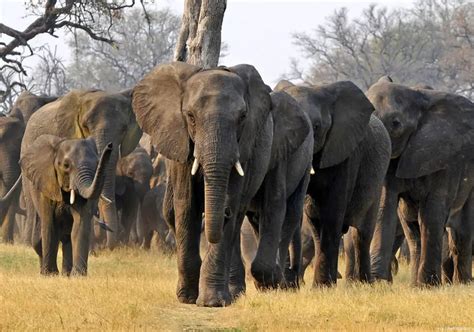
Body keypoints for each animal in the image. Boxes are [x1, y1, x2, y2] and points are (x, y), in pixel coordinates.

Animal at [21, 134, 113, 274]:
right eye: (66, 165)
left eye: (96, 164)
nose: (110, 145)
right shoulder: (47, 183)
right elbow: (50, 225)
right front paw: (50, 274)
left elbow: (80, 224)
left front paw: (78, 275)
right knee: (38, 239)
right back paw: (46, 271)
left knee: (67, 237)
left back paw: (67, 273)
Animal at [131, 61, 312, 306]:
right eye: (190, 116)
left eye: (242, 117)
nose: (223, 213)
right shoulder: (179, 142)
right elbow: (186, 206)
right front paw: (187, 298)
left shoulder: (251, 151)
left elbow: (256, 206)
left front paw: (212, 302)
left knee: (281, 214)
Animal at [276, 79, 390, 284]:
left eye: (317, 126)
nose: (291, 278)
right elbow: (314, 216)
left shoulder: (347, 154)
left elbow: (331, 212)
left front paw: (321, 287)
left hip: (377, 182)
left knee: (362, 234)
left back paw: (364, 283)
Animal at [366, 76, 474, 286]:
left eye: (396, 124)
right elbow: (385, 207)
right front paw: (377, 283)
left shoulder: (443, 158)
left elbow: (432, 213)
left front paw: (429, 285)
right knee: (413, 232)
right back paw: (415, 285)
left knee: (462, 232)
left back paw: (461, 283)